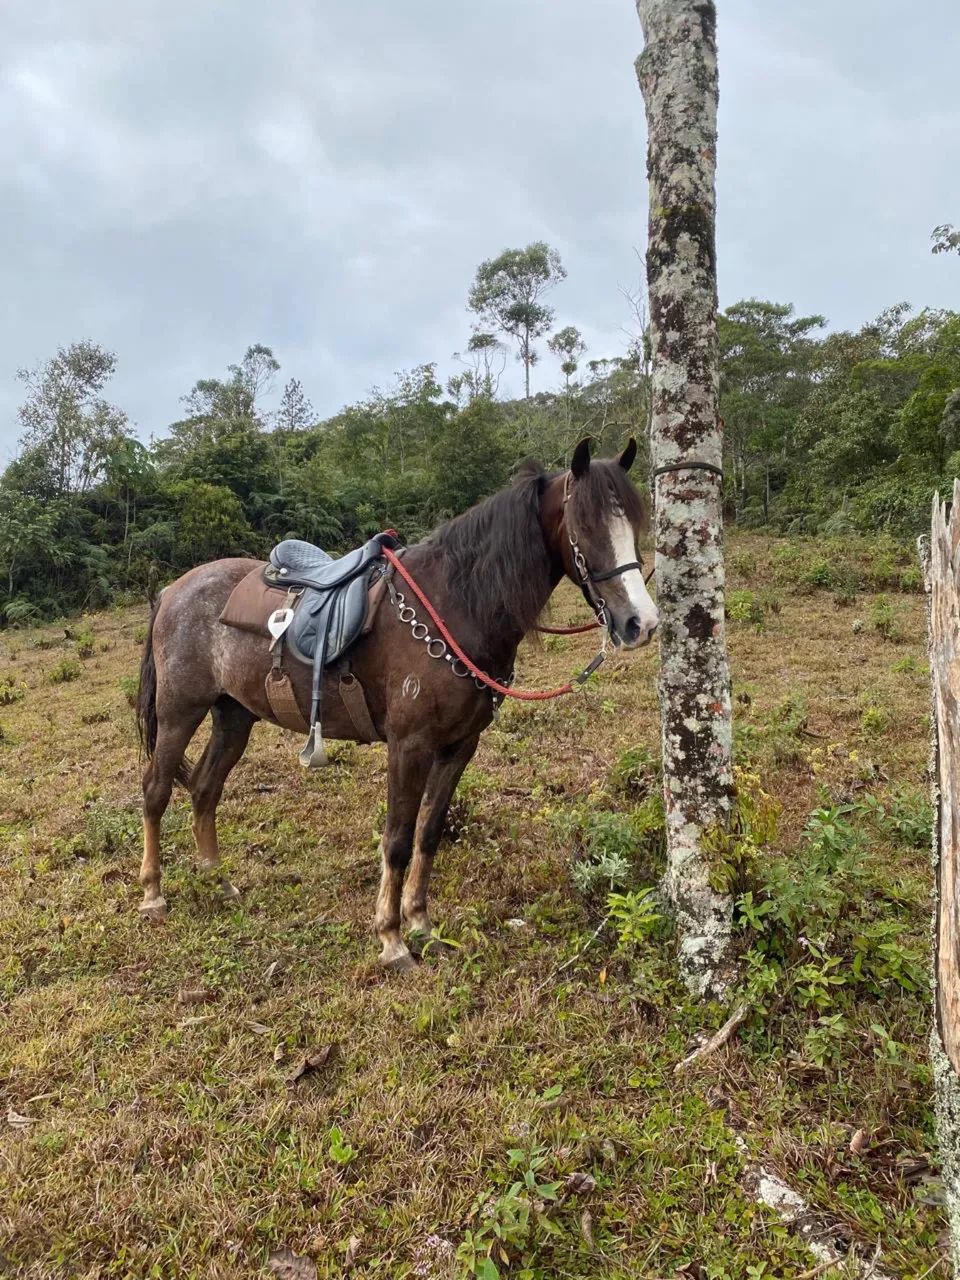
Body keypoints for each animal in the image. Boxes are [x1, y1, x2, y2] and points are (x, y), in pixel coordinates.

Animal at [135, 436, 659, 971]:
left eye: (634, 523)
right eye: (584, 526)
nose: (641, 623)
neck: (455, 603)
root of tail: (173, 591)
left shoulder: (459, 747)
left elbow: (429, 833)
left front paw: (421, 923)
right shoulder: (409, 746)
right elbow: (398, 841)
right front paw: (391, 938)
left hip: (233, 716)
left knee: (204, 790)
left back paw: (218, 882)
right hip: (180, 713)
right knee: (156, 789)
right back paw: (153, 894)